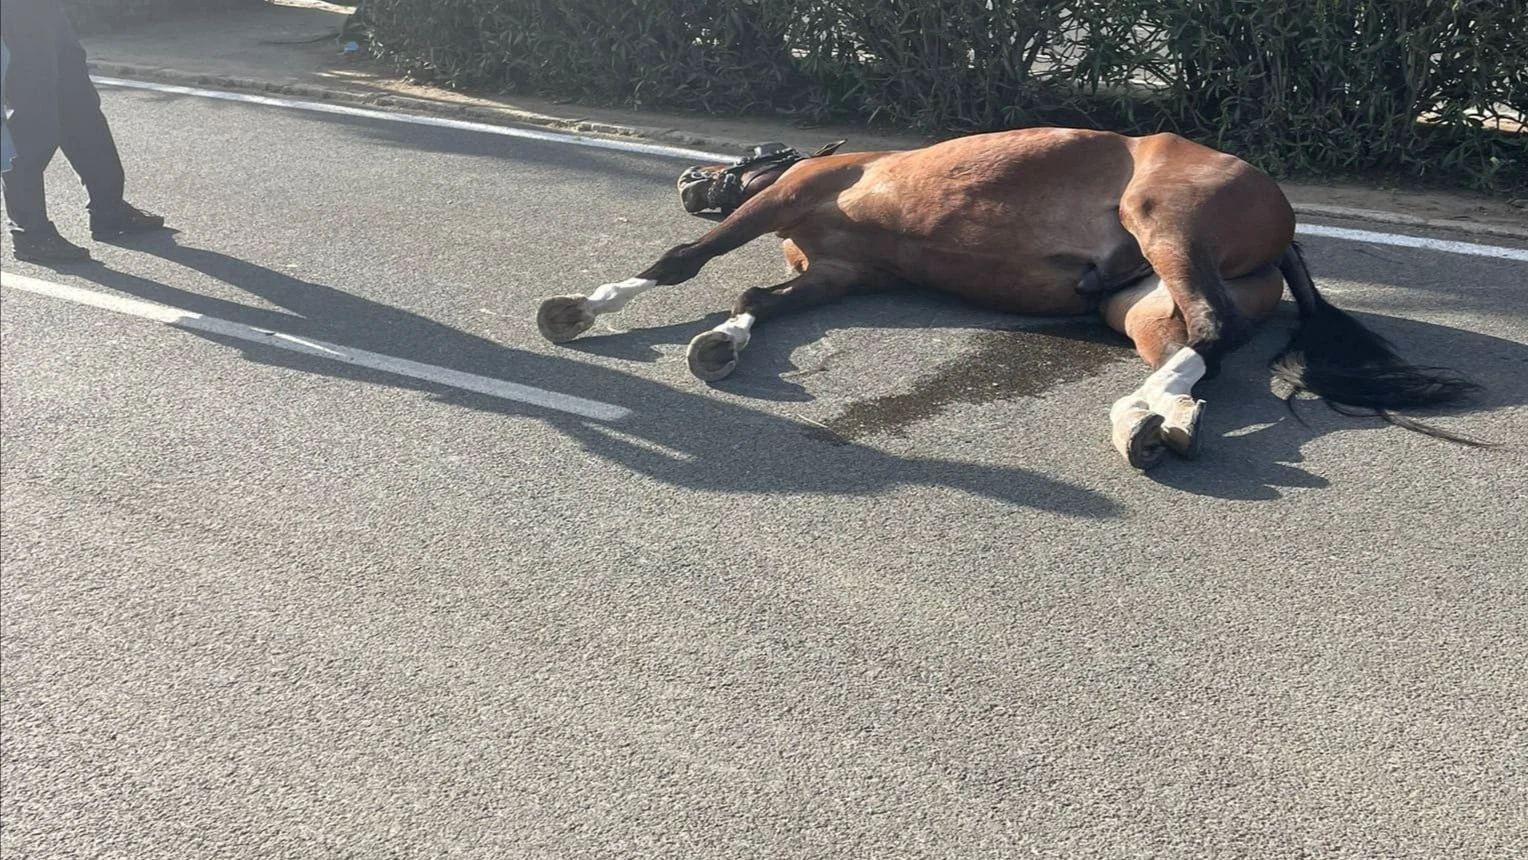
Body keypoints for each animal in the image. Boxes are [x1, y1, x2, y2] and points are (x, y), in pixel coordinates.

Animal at [540, 129, 1479, 470]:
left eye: (745, 158)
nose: (687, 179)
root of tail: (1283, 222)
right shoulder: (841, 274)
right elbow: (755, 296)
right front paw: (722, 344)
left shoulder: (780, 202)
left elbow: (686, 262)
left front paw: (582, 310)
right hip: (1139, 305)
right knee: (1200, 351)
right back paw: (1158, 421)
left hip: (1166, 225)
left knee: (1210, 331)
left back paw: (1136, 417)